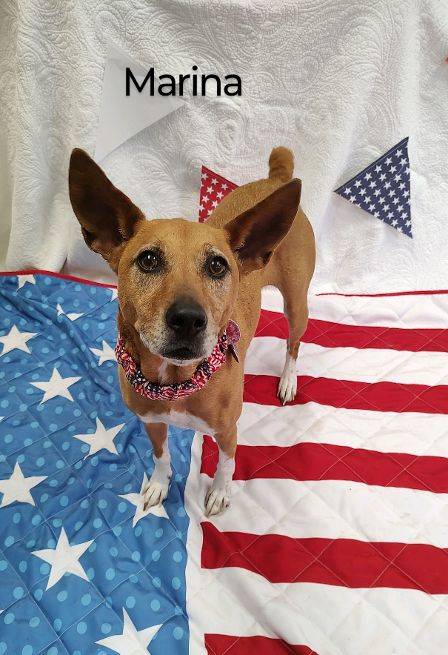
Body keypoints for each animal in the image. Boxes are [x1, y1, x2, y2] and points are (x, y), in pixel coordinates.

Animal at [69, 149, 316, 516]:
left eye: (216, 265)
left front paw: (219, 493)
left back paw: (288, 381)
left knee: (293, 344)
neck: (176, 383)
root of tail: (278, 178)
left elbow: (227, 465)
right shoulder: (152, 422)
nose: (188, 319)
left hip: (296, 303)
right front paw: (159, 484)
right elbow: (161, 456)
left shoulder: (227, 431)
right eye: (148, 260)